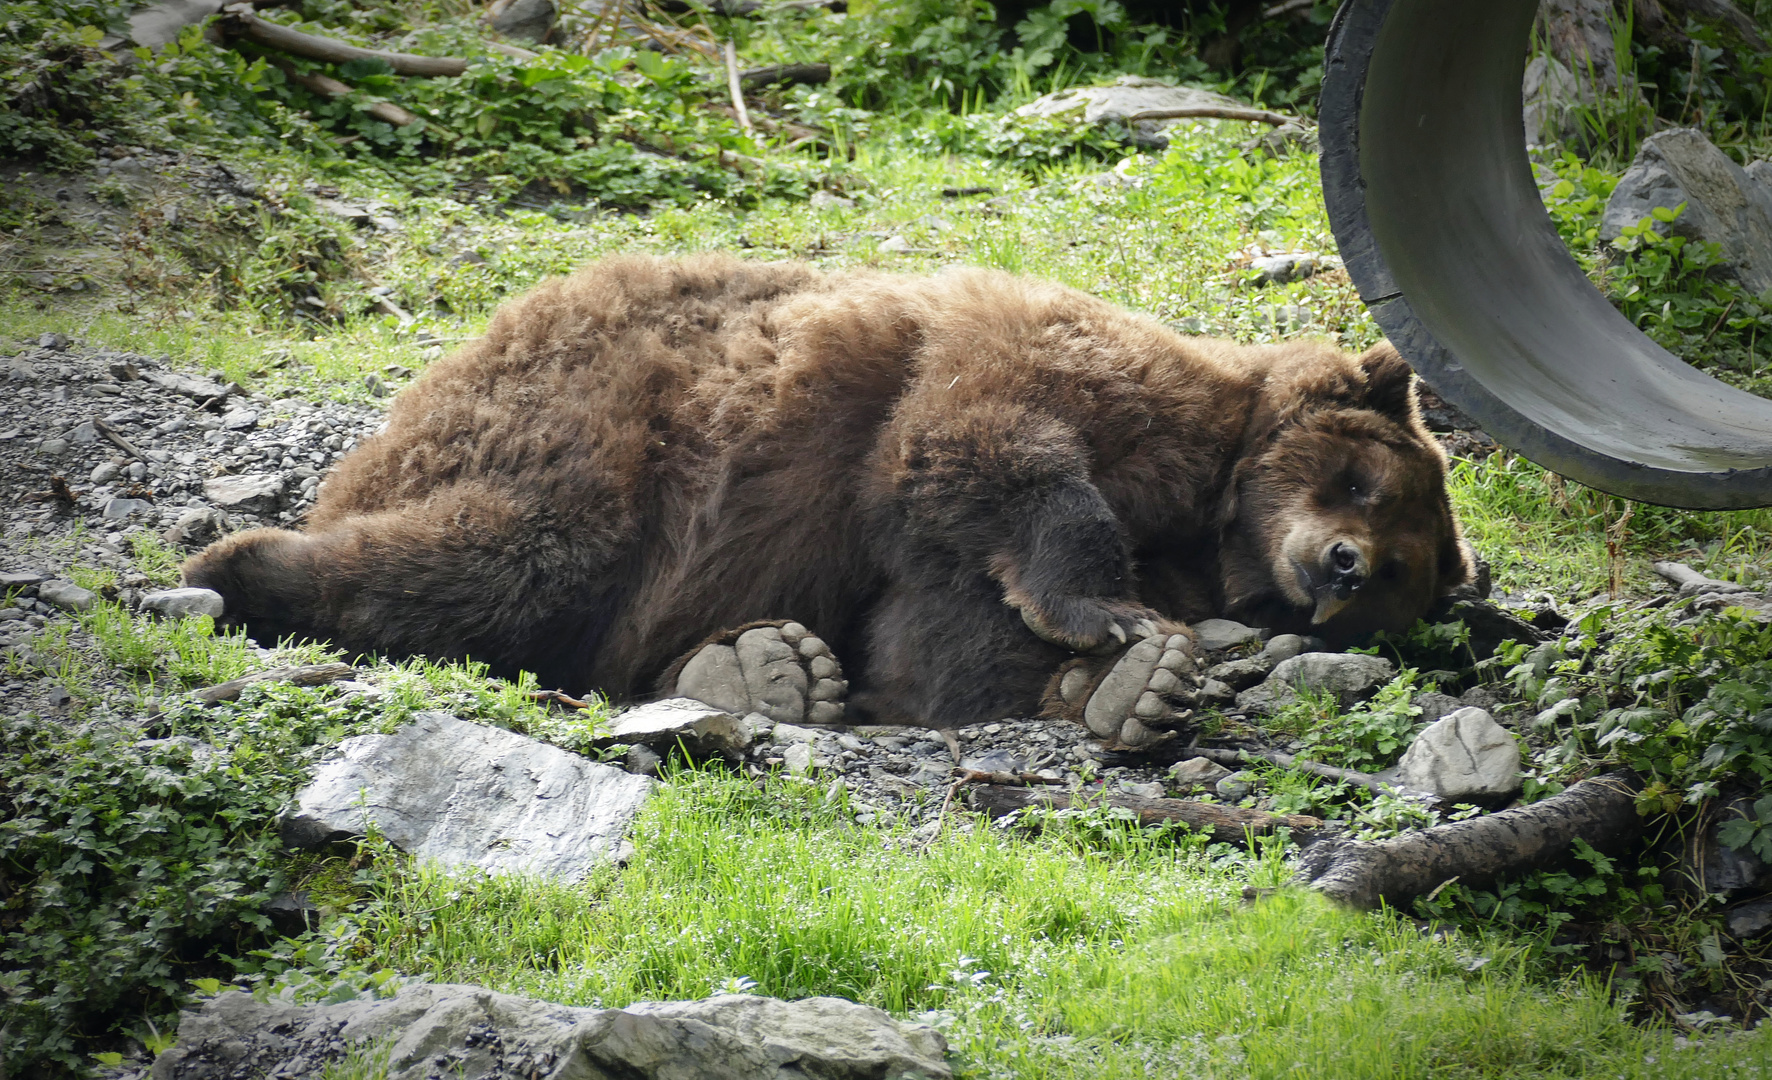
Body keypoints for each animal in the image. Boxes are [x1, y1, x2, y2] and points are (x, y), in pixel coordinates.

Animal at [186, 251, 1474, 744]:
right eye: (1361, 480)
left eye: (1402, 567)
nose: (1340, 567)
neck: (1207, 512)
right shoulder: (1050, 377)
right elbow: (990, 455)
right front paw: (1105, 617)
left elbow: (943, 647)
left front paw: (1124, 683)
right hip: (594, 419)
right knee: (508, 550)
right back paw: (232, 567)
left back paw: (764, 670)